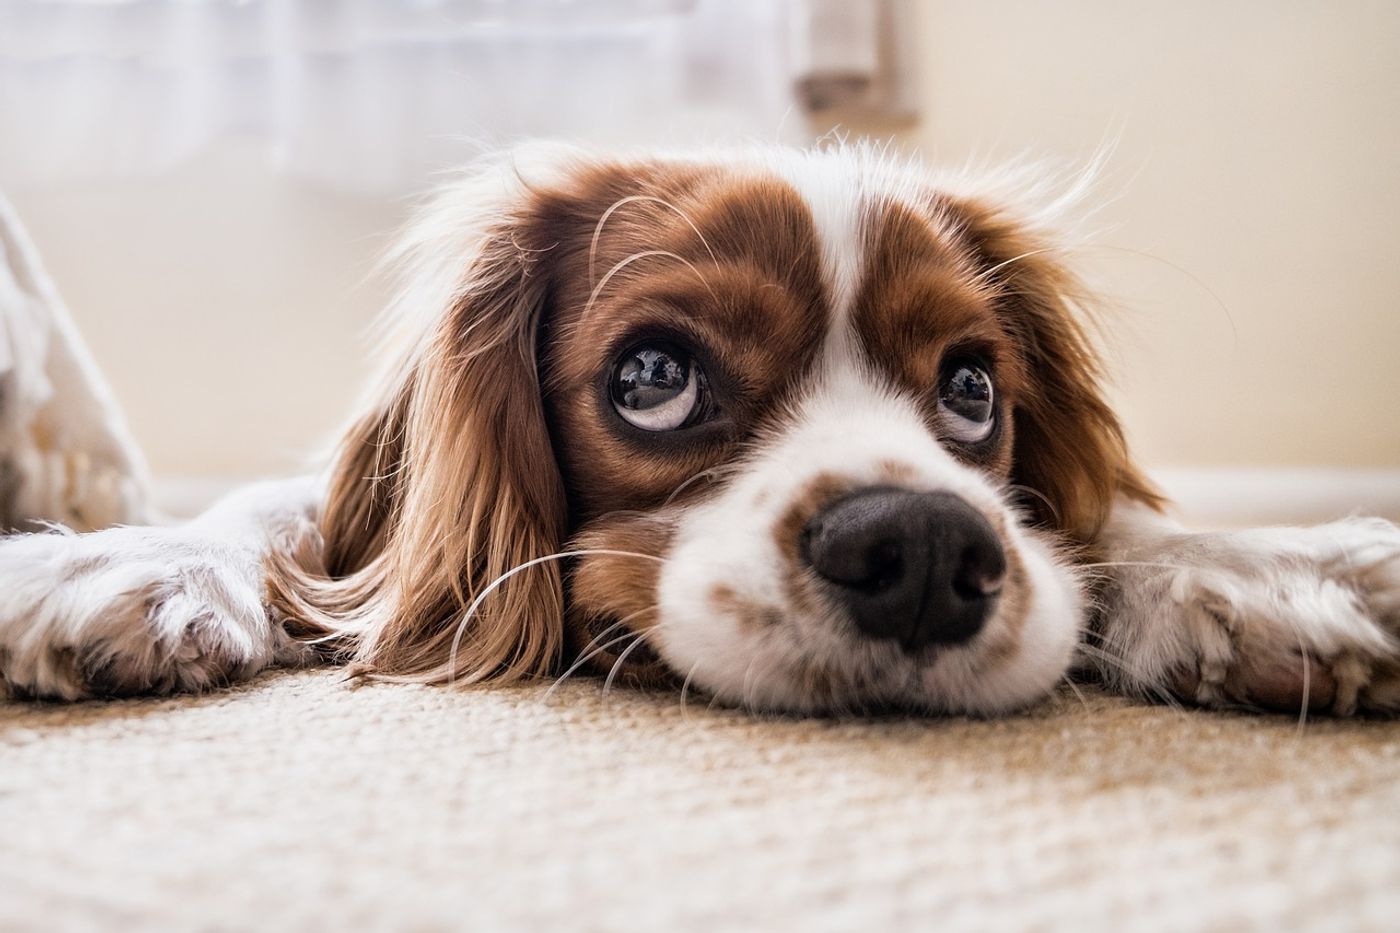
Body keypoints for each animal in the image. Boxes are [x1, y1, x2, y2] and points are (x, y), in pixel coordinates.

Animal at [2, 143, 1400, 711]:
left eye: (970, 390)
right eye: (653, 377)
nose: (922, 551)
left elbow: (1105, 525)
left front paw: (1266, 571)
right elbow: (281, 514)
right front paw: (125, 561)